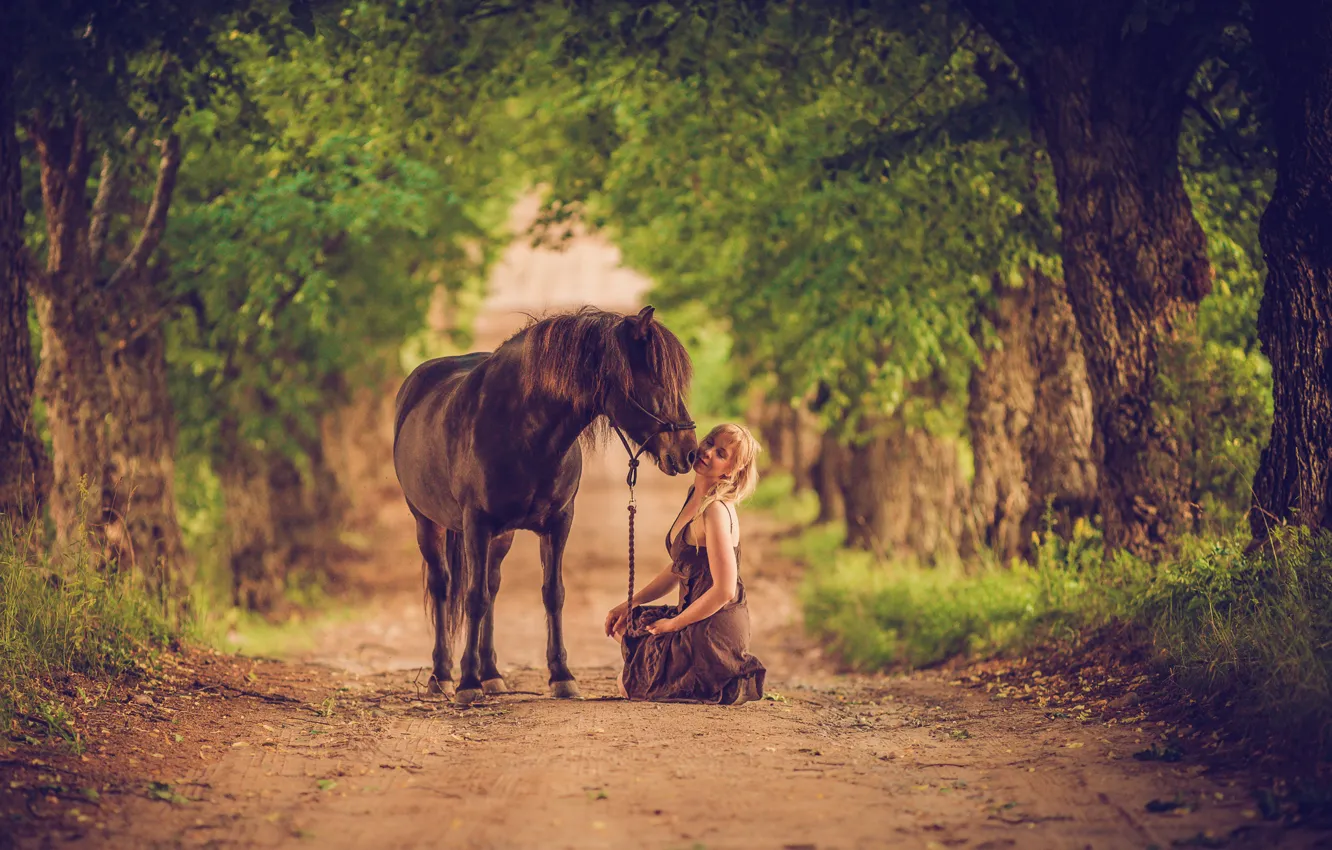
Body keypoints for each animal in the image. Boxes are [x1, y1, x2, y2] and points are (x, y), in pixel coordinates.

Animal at [392, 306, 698, 705]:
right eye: (656, 383)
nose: (689, 452)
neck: (520, 430)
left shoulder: (558, 521)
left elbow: (552, 594)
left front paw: (561, 676)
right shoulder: (476, 524)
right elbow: (473, 598)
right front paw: (468, 683)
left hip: (501, 537)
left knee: (492, 585)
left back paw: (492, 674)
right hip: (427, 523)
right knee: (443, 585)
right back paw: (442, 676)